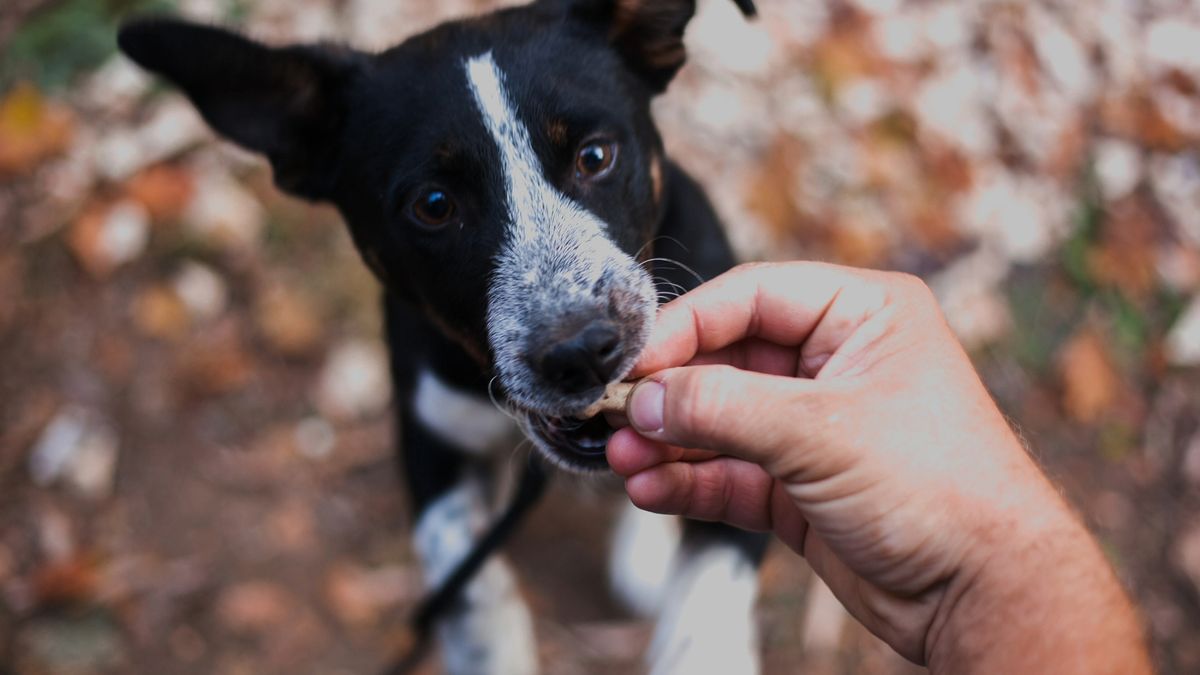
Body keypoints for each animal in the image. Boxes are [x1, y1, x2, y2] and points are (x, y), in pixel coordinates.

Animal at [114, 2, 768, 667]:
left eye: (594, 156)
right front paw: (490, 649)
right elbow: (461, 563)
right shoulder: (430, 428)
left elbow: (709, 592)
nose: (582, 353)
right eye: (433, 204)